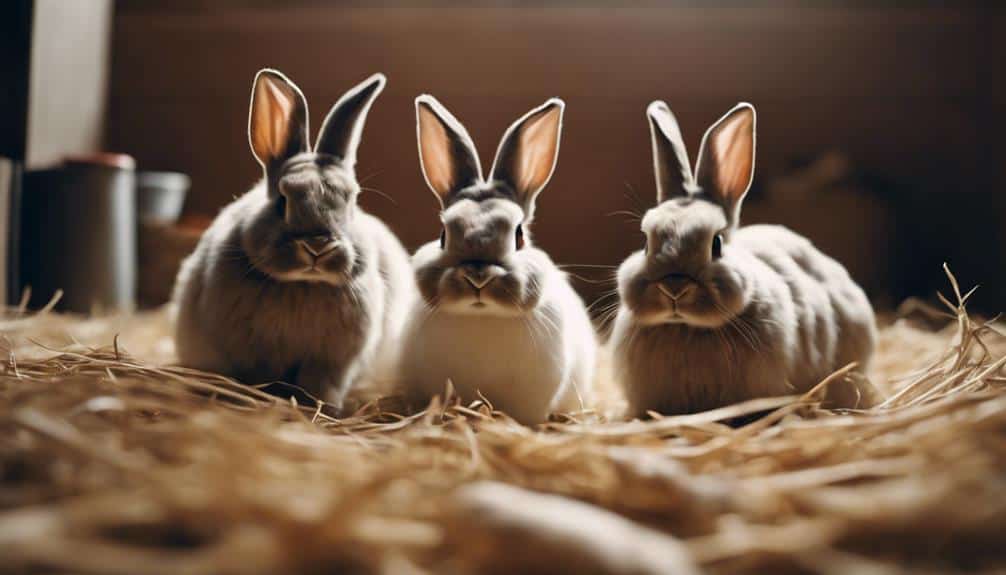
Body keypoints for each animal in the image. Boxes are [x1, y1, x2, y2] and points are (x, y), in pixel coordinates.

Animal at [172, 69, 416, 410]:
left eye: (352, 201)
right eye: (281, 201)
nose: (317, 246)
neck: (304, 284)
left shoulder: (330, 363)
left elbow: (321, 387)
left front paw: (323, 409)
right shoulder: (254, 355)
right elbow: (261, 378)